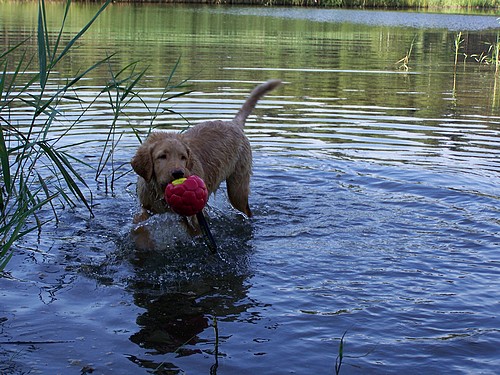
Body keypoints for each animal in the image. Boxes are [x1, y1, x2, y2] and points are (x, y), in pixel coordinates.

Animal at [130, 79, 282, 245]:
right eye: (162, 156)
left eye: (183, 157)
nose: (178, 173)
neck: (161, 192)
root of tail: (234, 124)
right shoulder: (146, 207)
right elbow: (139, 224)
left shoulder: (195, 218)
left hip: (237, 190)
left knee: (247, 210)